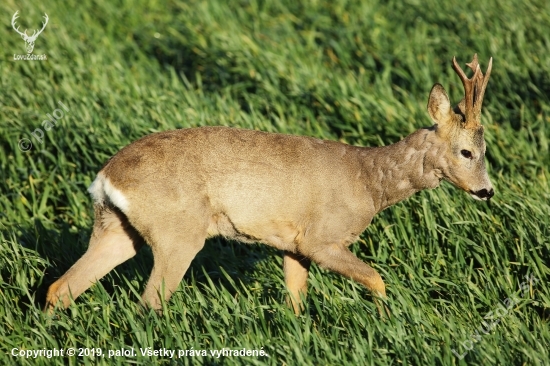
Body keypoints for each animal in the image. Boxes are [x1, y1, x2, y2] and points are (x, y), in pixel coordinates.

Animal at [46, 53, 496, 314]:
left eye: (486, 148)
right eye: (466, 152)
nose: (487, 191)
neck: (369, 180)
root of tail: (106, 177)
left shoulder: (293, 245)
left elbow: (295, 302)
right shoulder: (321, 239)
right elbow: (377, 280)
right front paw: (386, 320)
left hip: (117, 227)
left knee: (61, 287)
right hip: (178, 233)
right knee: (149, 303)